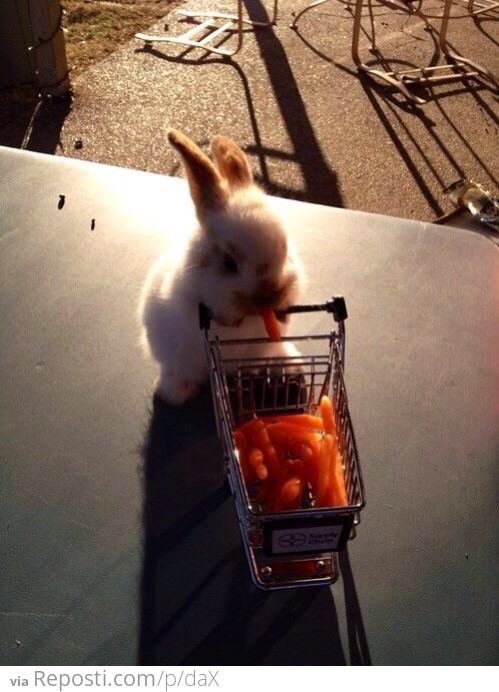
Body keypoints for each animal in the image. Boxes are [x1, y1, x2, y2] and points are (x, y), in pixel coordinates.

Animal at [139, 128, 306, 406]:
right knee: (178, 371)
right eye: (230, 262)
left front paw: (279, 312)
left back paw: (288, 365)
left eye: (285, 247)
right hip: (171, 353)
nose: (268, 298)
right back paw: (173, 392)